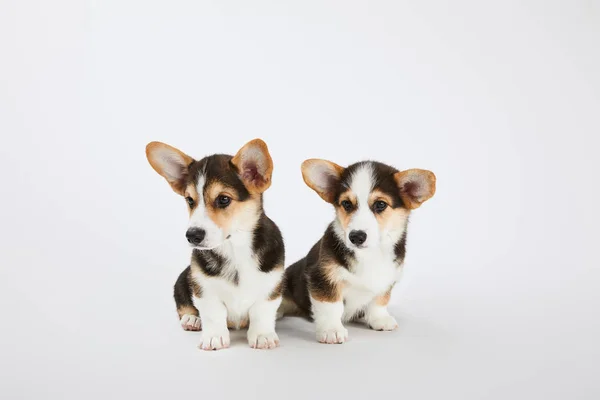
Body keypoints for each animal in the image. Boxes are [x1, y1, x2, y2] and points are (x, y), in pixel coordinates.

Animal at [146, 138, 284, 350]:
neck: (234, 249)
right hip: (183, 279)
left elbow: (262, 311)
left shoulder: (271, 285)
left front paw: (262, 336)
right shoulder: (204, 288)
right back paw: (192, 320)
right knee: (185, 306)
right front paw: (214, 337)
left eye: (223, 199)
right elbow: (213, 313)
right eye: (190, 200)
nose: (192, 235)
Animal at [278, 159, 434, 344]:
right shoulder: (322, 278)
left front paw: (379, 319)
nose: (356, 237)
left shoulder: (387, 280)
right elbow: (331, 306)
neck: (370, 255)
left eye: (380, 204)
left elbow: (380, 300)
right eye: (346, 203)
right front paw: (331, 330)